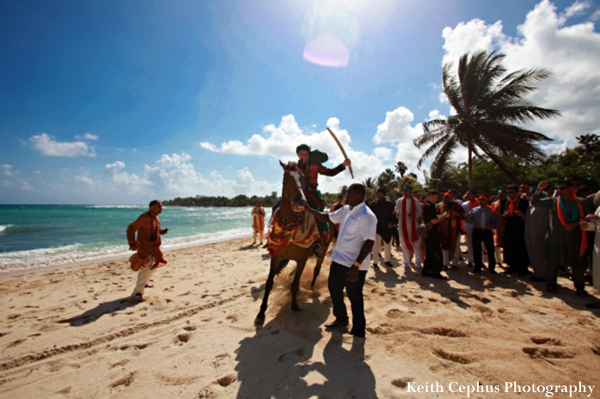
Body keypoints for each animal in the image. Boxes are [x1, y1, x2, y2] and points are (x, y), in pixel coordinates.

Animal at [254, 161, 332, 326]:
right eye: (286, 179)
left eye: (302, 178)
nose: (300, 201)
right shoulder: (276, 257)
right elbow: (269, 283)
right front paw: (261, 313)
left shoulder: (302, 259)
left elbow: (295, 284)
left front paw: (294, 305)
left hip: (323, 249)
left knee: (316, 269)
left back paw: (311, 287)